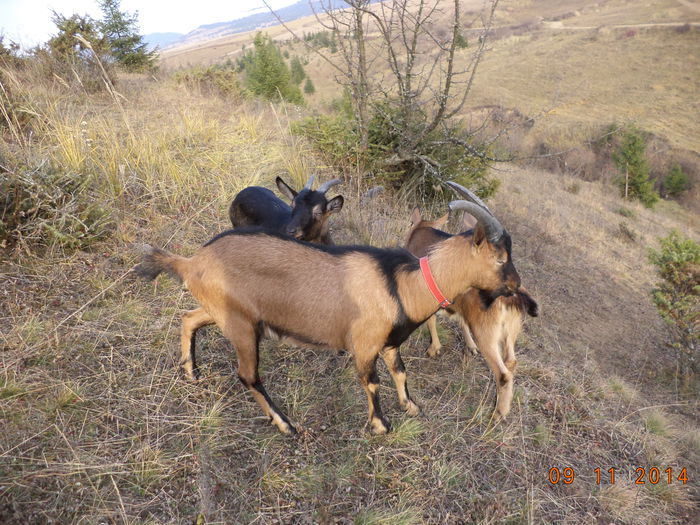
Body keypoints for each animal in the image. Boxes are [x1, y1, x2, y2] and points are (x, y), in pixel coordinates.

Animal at [137, 184, 520, 434]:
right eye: (501, 257)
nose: (516, 287)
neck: (402, 284)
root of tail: (192, 262)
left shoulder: (390, 343)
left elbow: (400, 373)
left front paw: (411, 406)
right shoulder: (364, 345)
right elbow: (372, 382)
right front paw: (381, 425)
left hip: (228, 314)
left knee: (189, 318)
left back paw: (191, 372)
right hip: (242, 328)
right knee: (248, 376)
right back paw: (285, 425)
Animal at [404, 203, 536, 420]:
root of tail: (513, 295)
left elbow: (432, 320)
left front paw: (434, 349)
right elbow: (462, 320)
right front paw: (470, 347)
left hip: (487, 333)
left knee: (503, 373)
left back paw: (498, 413)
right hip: (511, 329)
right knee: (511, 361)